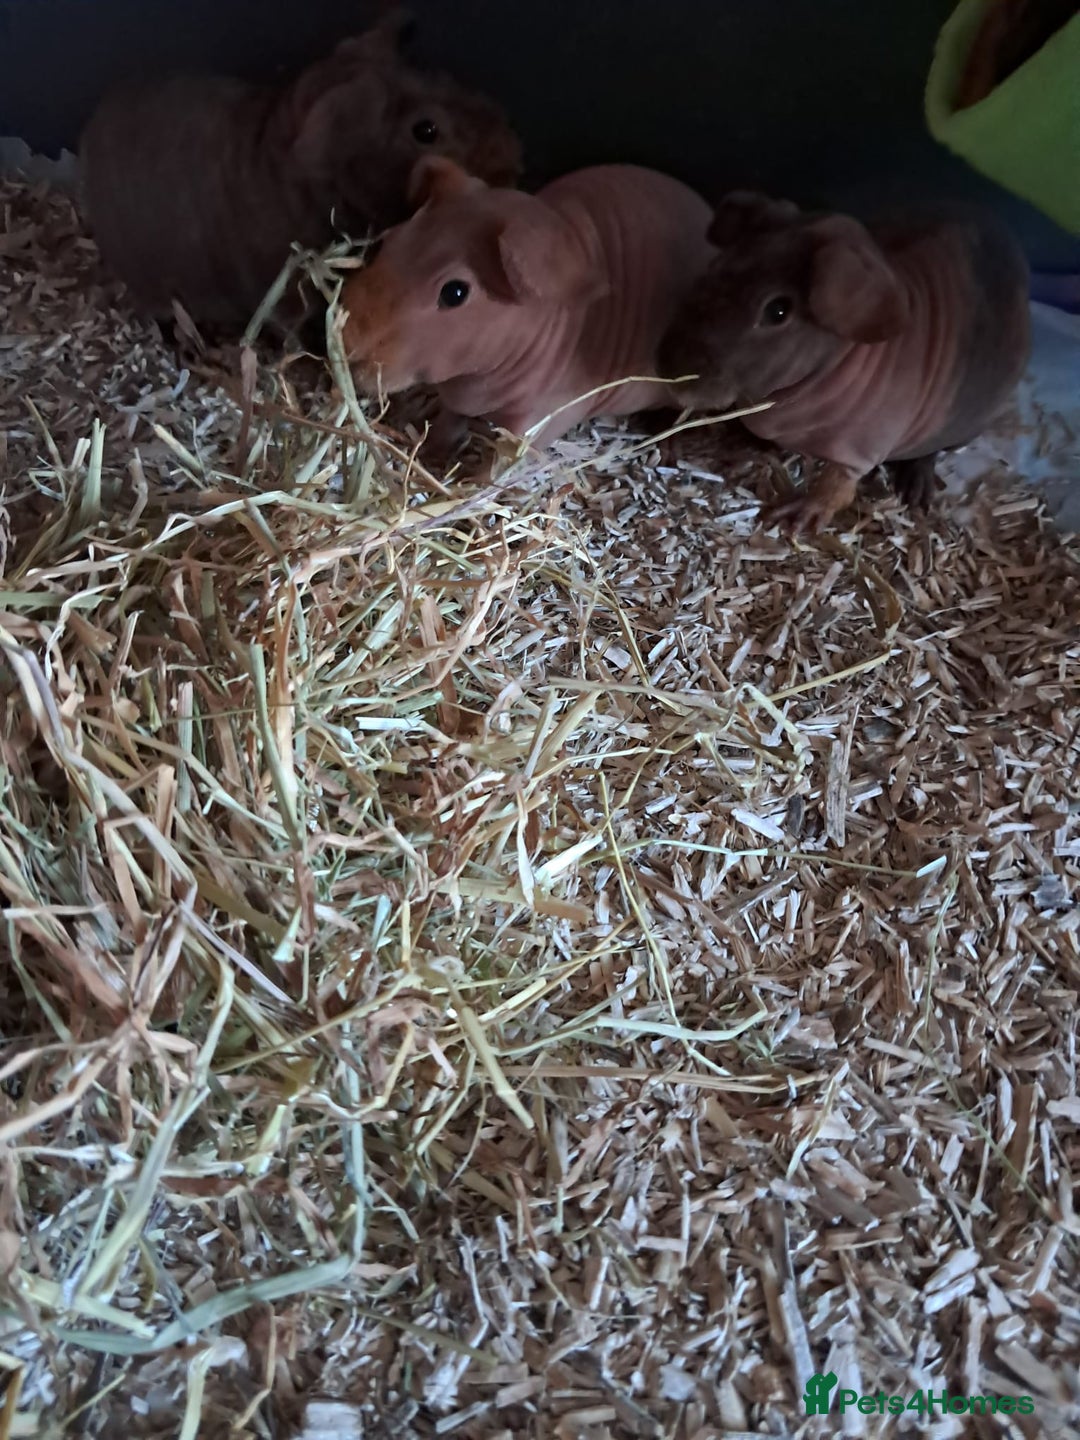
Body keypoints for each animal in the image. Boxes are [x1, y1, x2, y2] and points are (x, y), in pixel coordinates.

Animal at [340, 155, 717, 453]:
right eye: (386, 242)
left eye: (455, 293)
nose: (346, 342)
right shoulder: (458, 400)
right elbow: (449, 419)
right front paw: (434, 452)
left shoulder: (544, 418)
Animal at [657, 191, 1031, 533]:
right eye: (715, 267)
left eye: (778, 311)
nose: (670, 371)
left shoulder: (860, 450)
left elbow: (836, 487)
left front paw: (792, 518)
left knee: (927, 455)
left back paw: (916, 490)